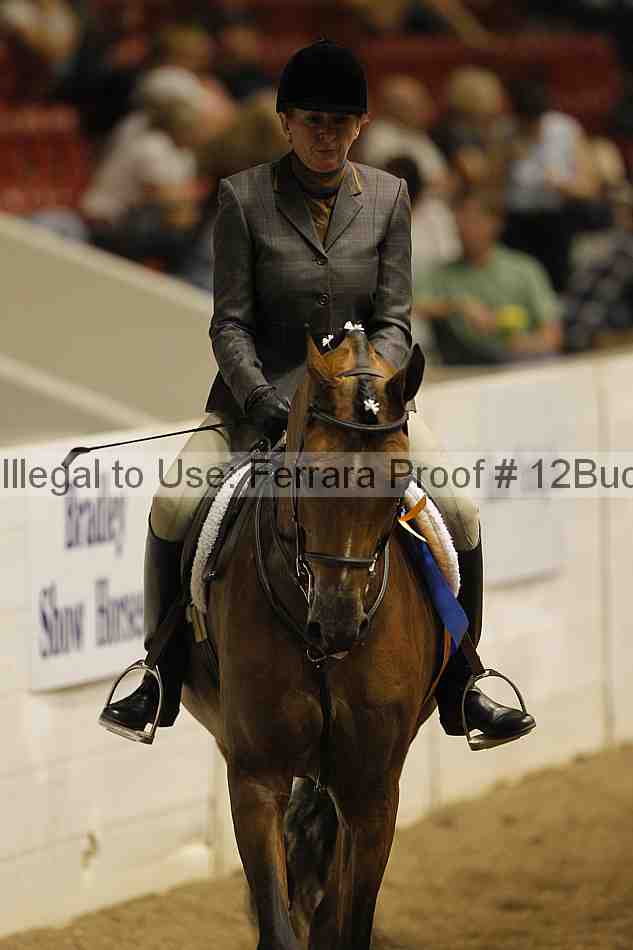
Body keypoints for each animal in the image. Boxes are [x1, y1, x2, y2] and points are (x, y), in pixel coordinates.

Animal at [181, 329, 443, 950]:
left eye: (398, 481)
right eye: (312, 475)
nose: (340, 623)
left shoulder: (374, 789)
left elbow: (349, 924)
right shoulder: (256, 778)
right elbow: (278, 925)